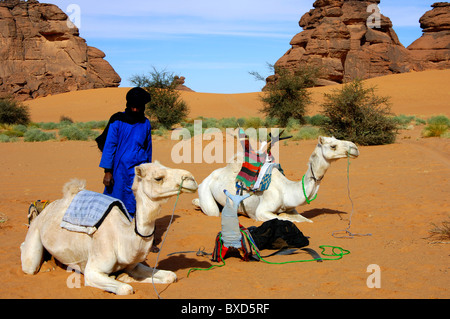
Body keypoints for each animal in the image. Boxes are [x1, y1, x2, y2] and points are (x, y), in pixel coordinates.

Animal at [21, 164, 197, 296]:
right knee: (28, 261)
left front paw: (125, 276)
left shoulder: (134, 264)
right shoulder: (93, 271)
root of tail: (48, 207)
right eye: (158, 178)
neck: (122, 238)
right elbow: (125, 289)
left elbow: (170, 276)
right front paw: (124, 279)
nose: (191, 178)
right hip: (35, 234)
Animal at [192, 136, 358, 224]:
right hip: (205, 188)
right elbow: (283, 218)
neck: (286, 191)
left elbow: (306, 220)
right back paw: (196, 202)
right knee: (213, 210)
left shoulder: (292, 209)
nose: (355, 148)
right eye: (333, 146)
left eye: (337, 139)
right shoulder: (262, 211)